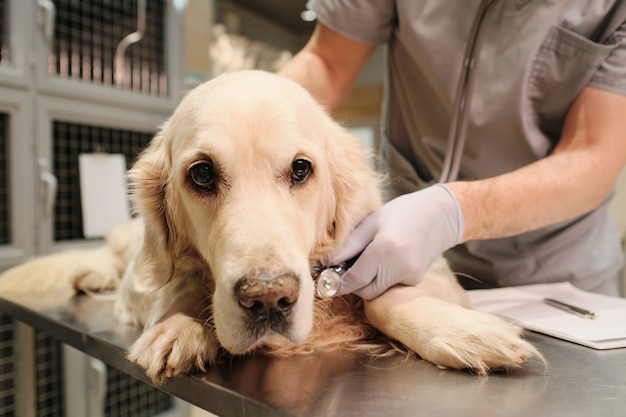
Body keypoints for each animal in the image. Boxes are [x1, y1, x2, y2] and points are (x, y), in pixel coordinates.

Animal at [0, 70, 536, 382]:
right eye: (201, 174)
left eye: (301, 169)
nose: (268, 299)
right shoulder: (149, 281)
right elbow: (177, 290)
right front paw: (181, 325)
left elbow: (386, 297)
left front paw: (460, 329)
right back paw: (90, 275)